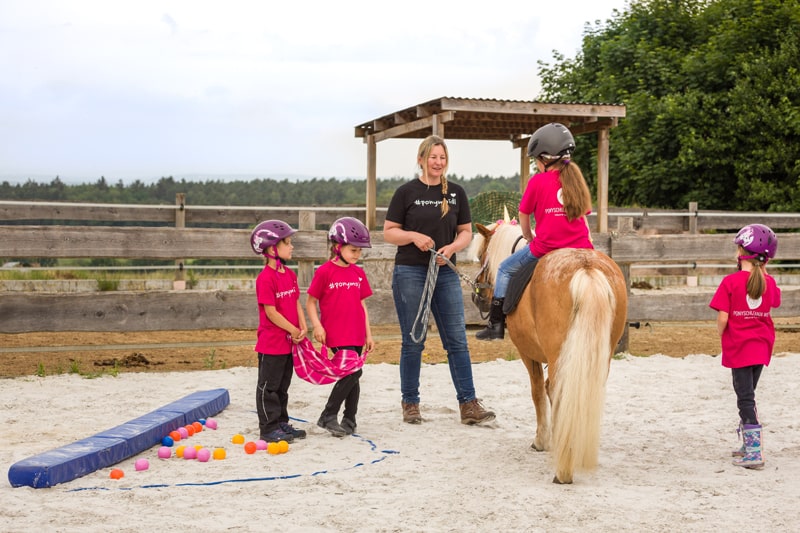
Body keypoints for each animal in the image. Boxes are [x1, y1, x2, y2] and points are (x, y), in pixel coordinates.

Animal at [472, 218, 628, 484]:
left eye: (482, 255)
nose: (478, 296)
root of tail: (586, 267)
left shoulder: (527, 352)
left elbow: (538, 392)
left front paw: (543, 440)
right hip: (599, 356)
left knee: (559, 391)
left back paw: (563, 470)